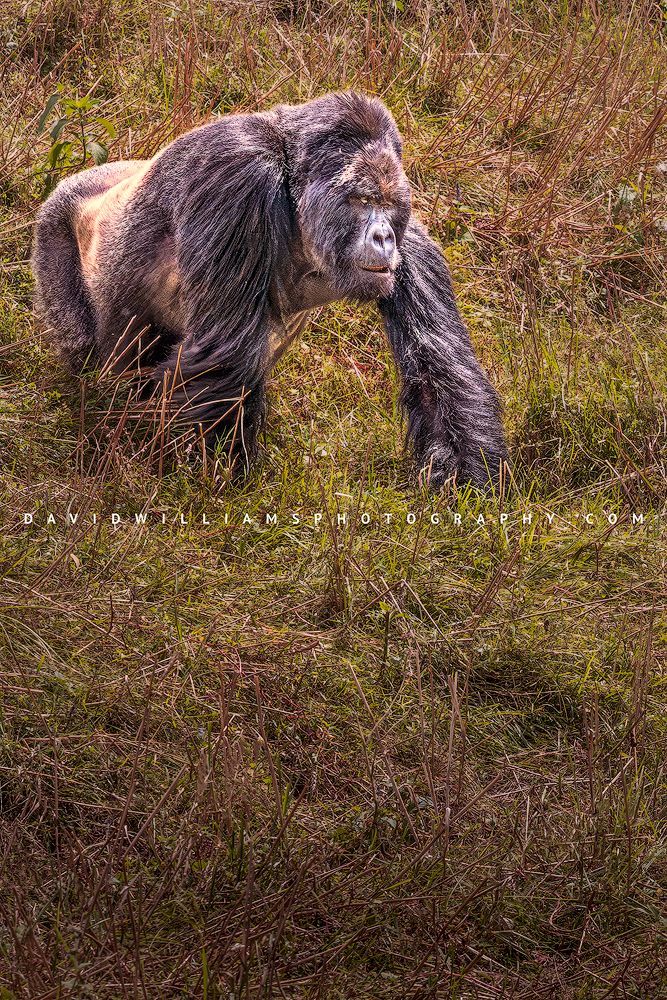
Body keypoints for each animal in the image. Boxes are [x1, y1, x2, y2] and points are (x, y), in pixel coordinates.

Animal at [32, 91, 507, 488]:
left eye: (388, 205)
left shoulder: (410, 237)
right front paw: (206, 481)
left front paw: (466, 487)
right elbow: (227, 357)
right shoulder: (238, 175)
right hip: (54, 228)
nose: (383, 238)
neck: (294, 194)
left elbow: (441, 368)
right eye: (361, 199)